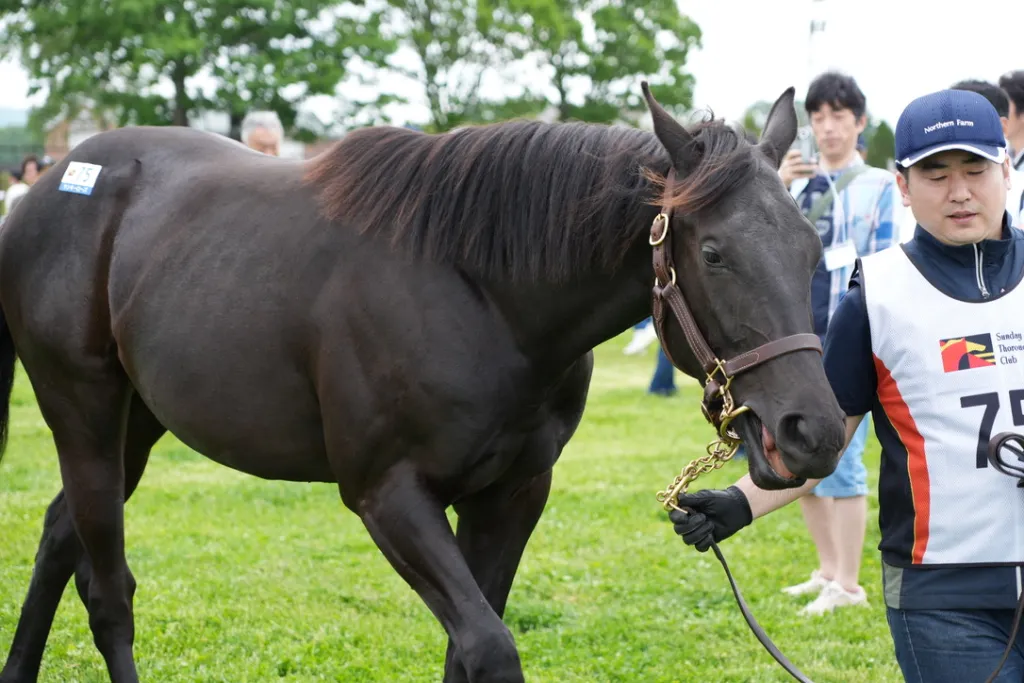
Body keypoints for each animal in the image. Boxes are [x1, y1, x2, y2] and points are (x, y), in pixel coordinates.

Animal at [0, 83, 846, 683]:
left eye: (813, 248)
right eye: (714, 253)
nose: (815, 429)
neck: (480, 291)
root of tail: (48, 191)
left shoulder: (511, 495)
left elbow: (466, 649)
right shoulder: (389, 495)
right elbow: (489, 647)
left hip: (136, 424)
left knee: (58, 532)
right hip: (83, 410)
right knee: (108, 590)